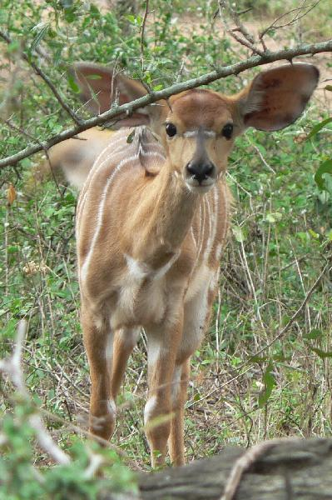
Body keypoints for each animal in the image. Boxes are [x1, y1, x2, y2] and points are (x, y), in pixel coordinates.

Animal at [73, 61, 320, 464]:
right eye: (171, 126)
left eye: (228, 128)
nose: (200, 169)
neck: (138, 253)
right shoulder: (93, 310)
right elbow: (100, 413)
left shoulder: (168, 316)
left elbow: (156, 414)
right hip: (129, 324)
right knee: (125, 380)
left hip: (198, 308)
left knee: (179, 389)